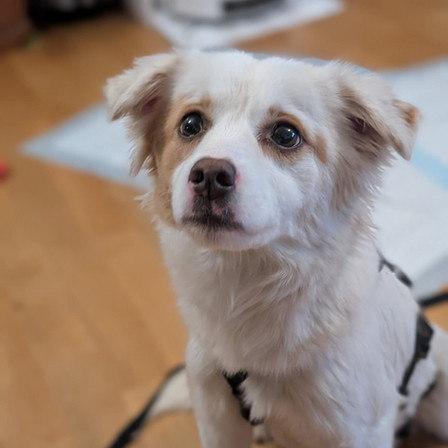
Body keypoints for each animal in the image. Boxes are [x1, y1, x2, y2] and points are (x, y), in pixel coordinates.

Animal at [105, 50, 448, 448]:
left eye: (286, 134)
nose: (209, 176)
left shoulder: (359, 428)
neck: (246, 281)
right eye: (190, 124)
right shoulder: (215, 412)